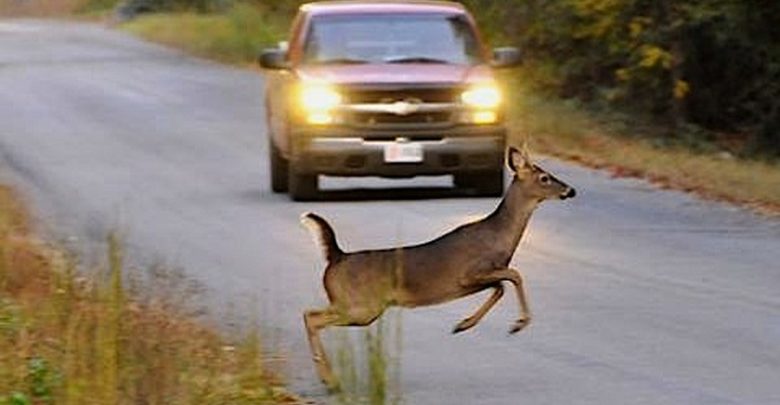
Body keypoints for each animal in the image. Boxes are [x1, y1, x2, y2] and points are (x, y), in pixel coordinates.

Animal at [302, 145, 576, 388]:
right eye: (544, 177)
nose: (570, 190)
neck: (499, 238)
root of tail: (336, 257)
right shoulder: (469, 273)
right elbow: (515, 275)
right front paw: (518, 324)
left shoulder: (476, 280)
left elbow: (500, 287)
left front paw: (463, 324)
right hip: (361, 306)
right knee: (311, 316)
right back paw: (330, 380)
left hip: (358, 307)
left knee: (311, 315)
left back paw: (328, 378)